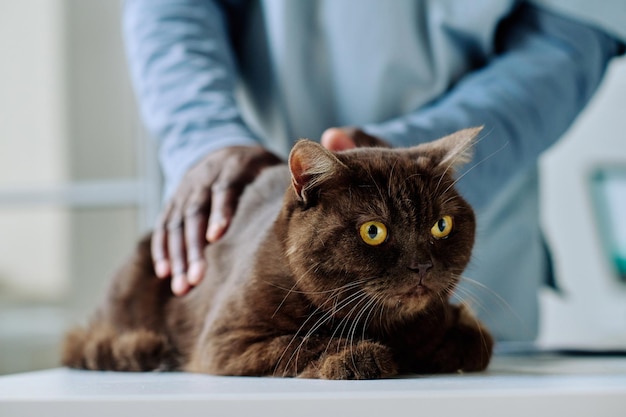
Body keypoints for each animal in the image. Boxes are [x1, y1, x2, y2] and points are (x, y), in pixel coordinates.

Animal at [62, 126, 492, 376]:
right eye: (374, 231)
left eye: (441, 225)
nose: (422, 266)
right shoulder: (224, 342)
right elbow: (299, 342)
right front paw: (355, 356)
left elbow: (475, 342)